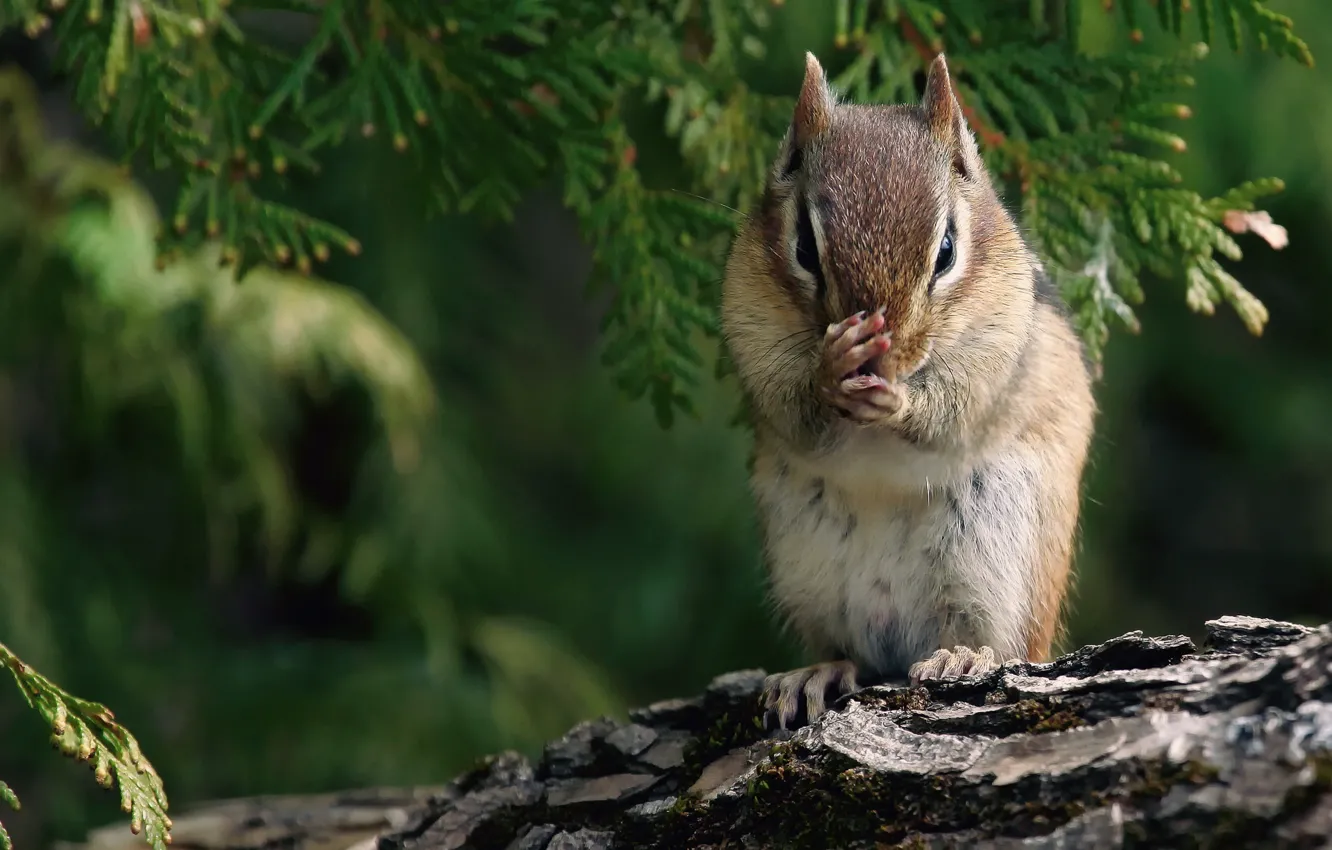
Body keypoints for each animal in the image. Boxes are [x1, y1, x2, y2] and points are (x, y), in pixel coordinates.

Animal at [720, 52, 1096, 729]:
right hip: (805, 566)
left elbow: (956, 410)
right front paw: (832, 370)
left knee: (1003, 644)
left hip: (1002, 559)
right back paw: (819, 671)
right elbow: (790, 405)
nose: (882, 355)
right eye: (805, 247)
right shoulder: (749, 326)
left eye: (946, 250)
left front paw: (899, 401)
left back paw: (962, 657)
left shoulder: (1000, 348)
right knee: (850, 650)